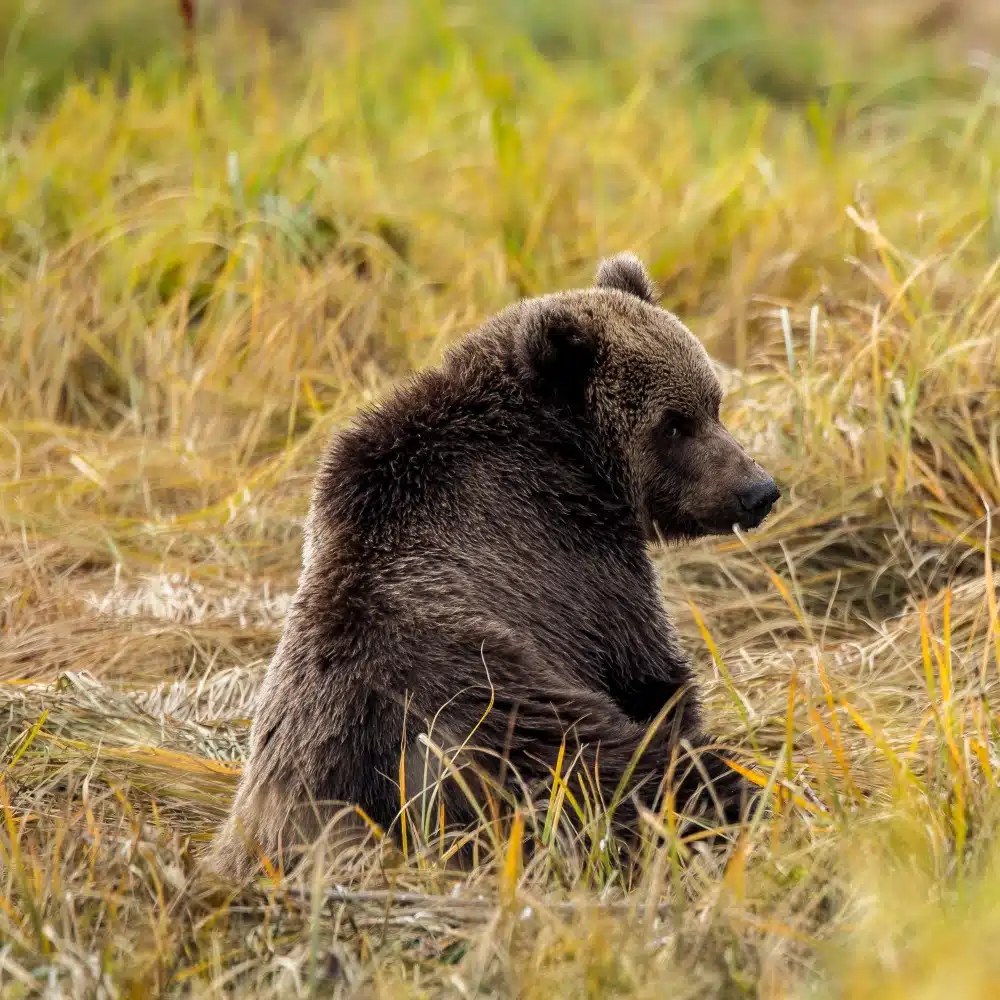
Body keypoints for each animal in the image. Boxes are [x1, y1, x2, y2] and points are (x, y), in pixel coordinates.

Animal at [207, 254, 776, 880]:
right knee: (628, 772)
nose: (758, 490)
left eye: (713, 402)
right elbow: (652, 677)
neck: (569, 457)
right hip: (505, 718)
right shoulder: (577, 565)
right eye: (673, 423)